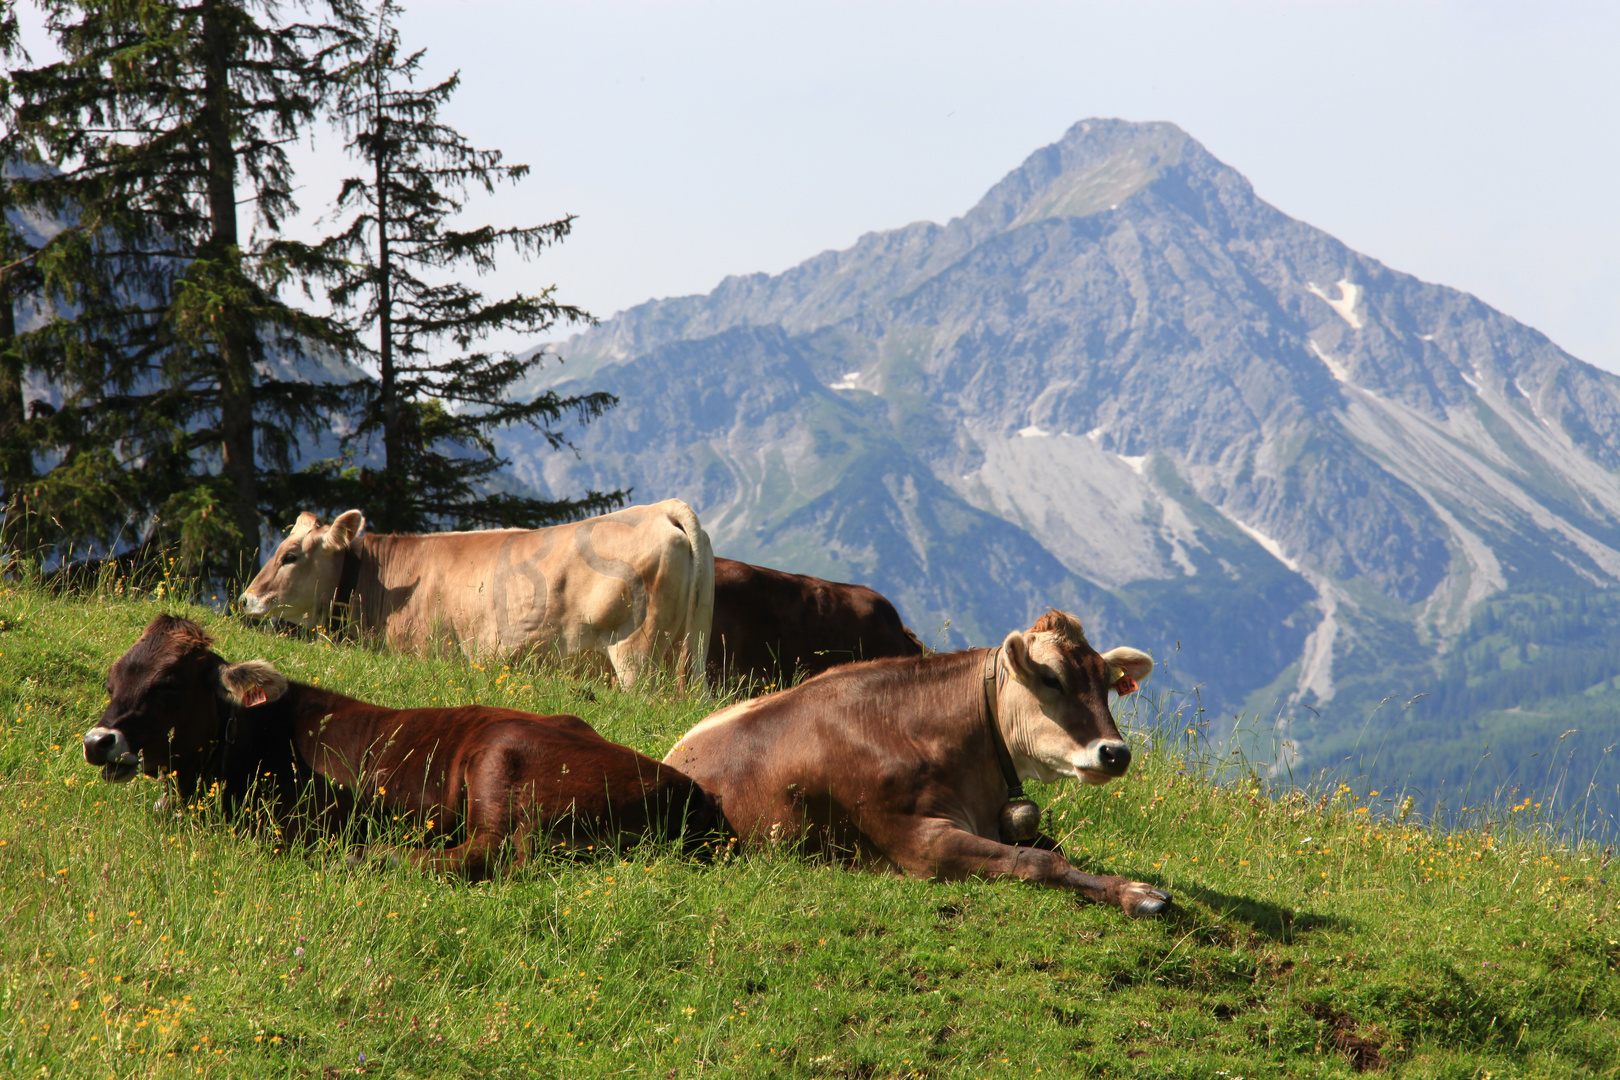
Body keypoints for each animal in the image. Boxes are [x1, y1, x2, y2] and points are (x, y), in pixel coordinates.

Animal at [82, 615, 722, 880]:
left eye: (168, 684)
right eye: (113, 681)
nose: (97, 741)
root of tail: (683, 785)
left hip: (500, 758)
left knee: (494, 853)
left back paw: (374, 857)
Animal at [664, 612, 1172, 919]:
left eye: (1106, 682)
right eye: (1051, 678)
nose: (1116, 752)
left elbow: (1056, 849)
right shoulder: (920, 843)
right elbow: (1039, 860)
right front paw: (1138, 895)